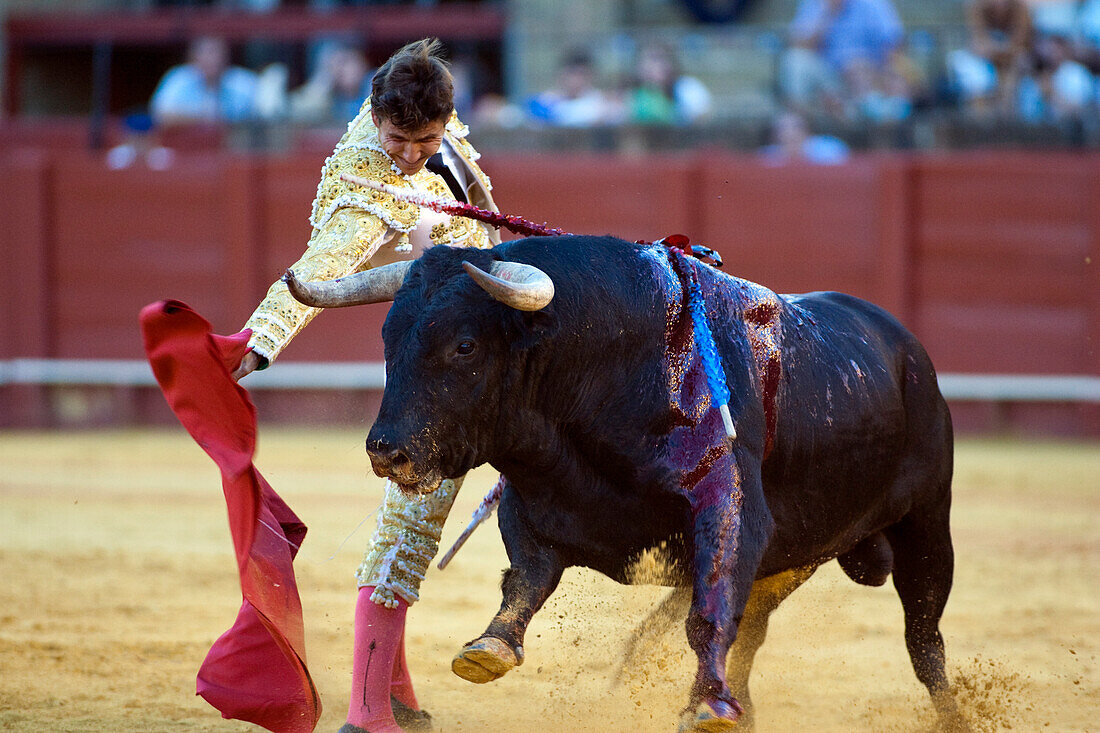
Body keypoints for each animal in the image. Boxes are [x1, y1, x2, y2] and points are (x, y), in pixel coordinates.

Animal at [283, 235, 963, 730]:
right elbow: (526, 581)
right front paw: (489, 648)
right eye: (388, 337)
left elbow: (709, 611)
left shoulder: (730, 511)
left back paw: (951, 716)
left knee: (924, 637)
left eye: (466, 345)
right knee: (756, 624)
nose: (387, 451)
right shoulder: (532, 505)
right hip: (797, 553)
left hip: (928, 521)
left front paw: (707, 706)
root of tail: (906, 349)